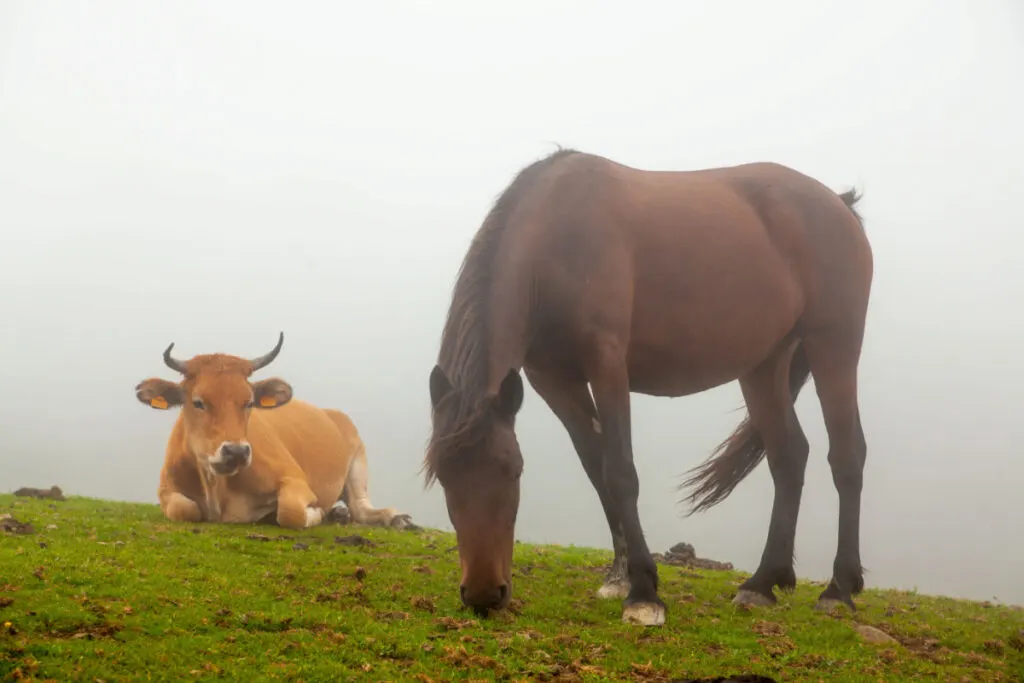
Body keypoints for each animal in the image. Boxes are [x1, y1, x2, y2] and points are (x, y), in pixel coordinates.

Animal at [134, 333, 409, 532]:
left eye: (249, 402)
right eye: (198, 402)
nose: (236, 451)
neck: (215, 487)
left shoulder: (295, 479)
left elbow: (290, 511)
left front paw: (317, 513)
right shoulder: (166, 489)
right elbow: (184, 509)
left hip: (358, 461)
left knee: (361, 508)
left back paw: (394, 518)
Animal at [423, 147, 872, 626]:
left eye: (513, 470)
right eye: (444, 475)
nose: (484, 593)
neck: (556, 240)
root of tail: (839, 204)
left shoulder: (607, 366)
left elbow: (620, 472)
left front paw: (643, 593)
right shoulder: (554, 381)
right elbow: (597, 469)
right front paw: (619, 576)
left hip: (834, 346)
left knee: (846, 456)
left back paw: (838, 589)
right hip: (764, 365)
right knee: (788, 456)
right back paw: (762, 583)